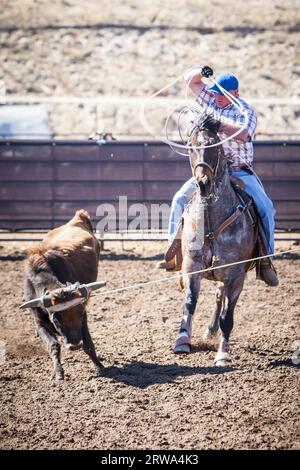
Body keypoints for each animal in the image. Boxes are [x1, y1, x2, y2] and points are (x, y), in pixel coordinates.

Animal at [175, 115, 256, 366]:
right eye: (191, 146)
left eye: (214, 146)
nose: (203, 183)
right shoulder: (192, 266)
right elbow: (190, 302)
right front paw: (182, 341)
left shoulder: (235, 275)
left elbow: (227, 317)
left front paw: (223, 354)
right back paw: (210, 330)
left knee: (222, 301)